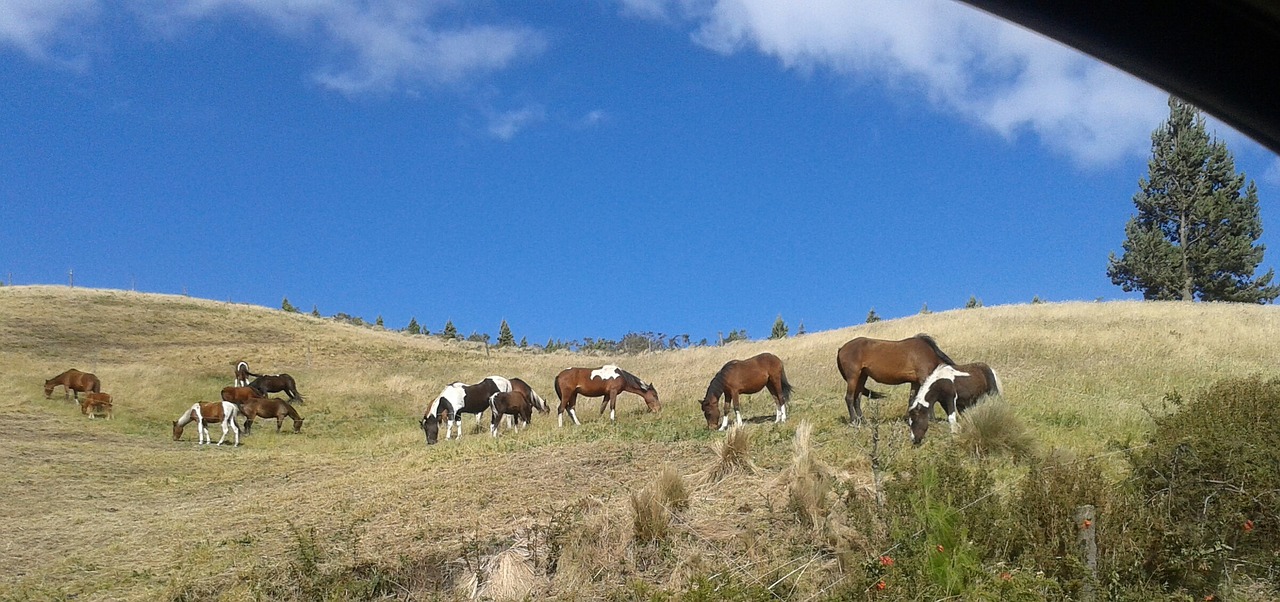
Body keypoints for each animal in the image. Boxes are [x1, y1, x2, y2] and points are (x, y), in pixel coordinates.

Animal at [834, 333, 962, 427]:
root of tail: (841, 349)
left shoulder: (915, 382)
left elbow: (912, 400)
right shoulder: (923, 379)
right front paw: (933, 420)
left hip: (862, 377)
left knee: (857, 399)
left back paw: (863, 420)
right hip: (853, 377)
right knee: (849, 398)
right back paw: (854, 421)